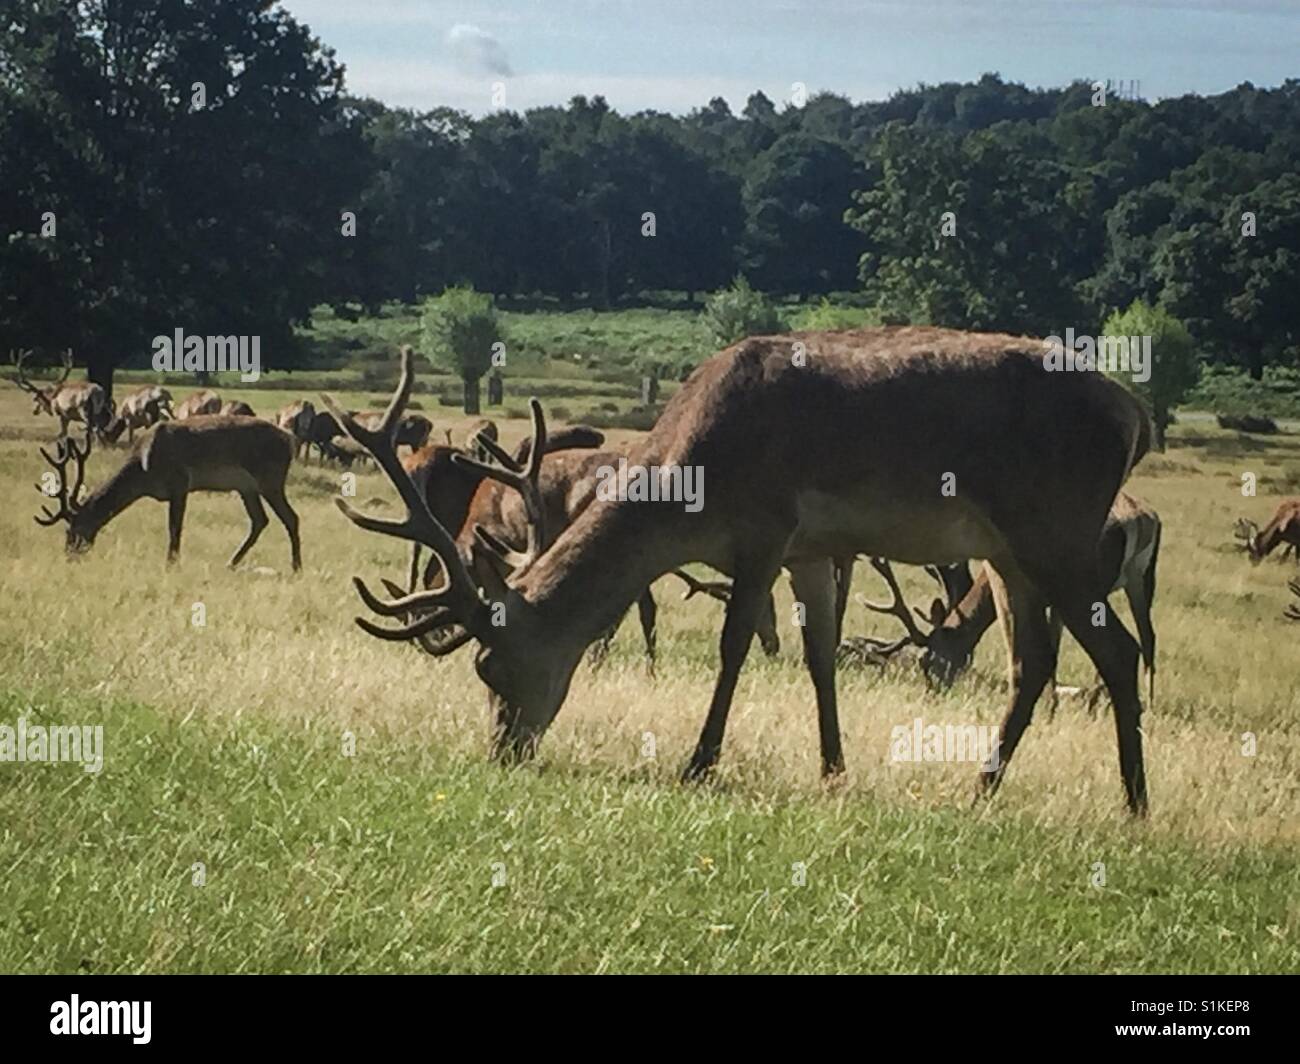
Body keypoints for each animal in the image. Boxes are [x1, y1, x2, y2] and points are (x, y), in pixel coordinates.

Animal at [34, 413, 301, 567]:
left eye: (72, 529)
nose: (69, 555)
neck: (144, 469)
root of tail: (290, 439)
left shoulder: (179, 482)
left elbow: (174, 528)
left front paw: (171, 564)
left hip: (270, 478)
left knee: (291, 517)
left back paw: (296, 568)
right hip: (247, 487)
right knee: (260, 520)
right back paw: (231, 562)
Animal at [327, 331, 1159, 811]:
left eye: (492, 667)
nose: (504, 749)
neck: (690, 483)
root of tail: (1135, 415)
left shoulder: (764, 526)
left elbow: (735, 648)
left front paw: (698, 763)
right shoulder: (812, 548)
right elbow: (820, 656)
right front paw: (833, 769)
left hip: (1057, 528)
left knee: (1118, 651)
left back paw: (1134, 799)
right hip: (1008, 552)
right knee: (1034, 661)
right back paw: (982, 785)